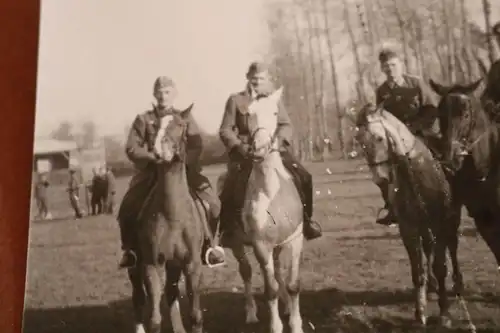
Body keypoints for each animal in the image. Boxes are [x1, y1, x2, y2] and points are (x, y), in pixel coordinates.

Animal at [127, 105, 213, 332]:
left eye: (181, 125)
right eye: (153, 125)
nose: (158, 151)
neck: (172, 214)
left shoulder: (191, 264)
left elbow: (195, 316)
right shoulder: (152, 265)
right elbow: (154, 320)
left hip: (174, 265)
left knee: (171, 293)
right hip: (135, 267)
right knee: (138, 298)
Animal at [218, 87, 306, 332]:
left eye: (275, 113)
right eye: (249, 114)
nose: (259, 149)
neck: (270, 190)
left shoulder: (296, 239)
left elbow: (293, 283)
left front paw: (296, 323)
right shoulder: (260, 245)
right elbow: (270, 289)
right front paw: (276, 326)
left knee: (277, 271)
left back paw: (286, 306)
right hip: (238, 245)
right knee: (247, 272)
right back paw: (251, 313)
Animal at [350, 102, 458, 326]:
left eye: (379, 138)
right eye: (360, 141)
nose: (380, 179)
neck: (415, 173)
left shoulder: (440, 223)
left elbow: (441, 266)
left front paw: (444, 312)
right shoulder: (408, 228)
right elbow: (417, 271)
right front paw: (420, 312)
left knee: (452, 246)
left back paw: (457, 284)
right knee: (429, 247)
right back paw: (431, 285)